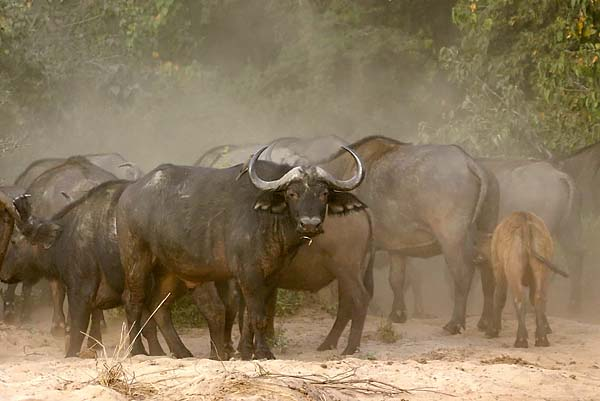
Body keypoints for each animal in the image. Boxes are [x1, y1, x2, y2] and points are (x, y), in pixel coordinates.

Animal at [115, 145, 364, 358]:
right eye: (292, 193)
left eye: (324, 193)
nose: (310, 224)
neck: (267, 218)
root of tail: (129, 193)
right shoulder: (248, 274)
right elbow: (257, 316)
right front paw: (263, 353)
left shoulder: (271, 277)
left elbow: (252, 316)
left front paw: (247, 352)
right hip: (136, 257)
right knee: (133, 299)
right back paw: (137, 351)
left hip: (169, 268)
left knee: (159, 305)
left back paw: (182, 352)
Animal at [482, 211, 568, 346]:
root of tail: (525, 222)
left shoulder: (499, 271)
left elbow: (499, 297)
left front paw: (492, 331)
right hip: (541, 270)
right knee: (538, 298)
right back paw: (541, 339)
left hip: (513, 272)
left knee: (519, 299)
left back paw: (521, 340)